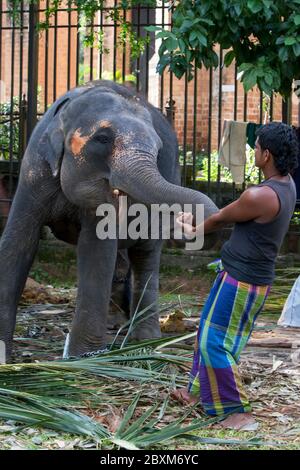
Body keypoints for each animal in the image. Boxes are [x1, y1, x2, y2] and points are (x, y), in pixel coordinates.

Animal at [0, 80, 218, 360]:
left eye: (158, 151)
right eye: (102, 139)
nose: (195, 222)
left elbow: (96, 250)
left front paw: (82, 359)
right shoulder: (33, 170)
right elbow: (18, 243)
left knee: (146, 256)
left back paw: (145, 339)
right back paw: (115, 324)